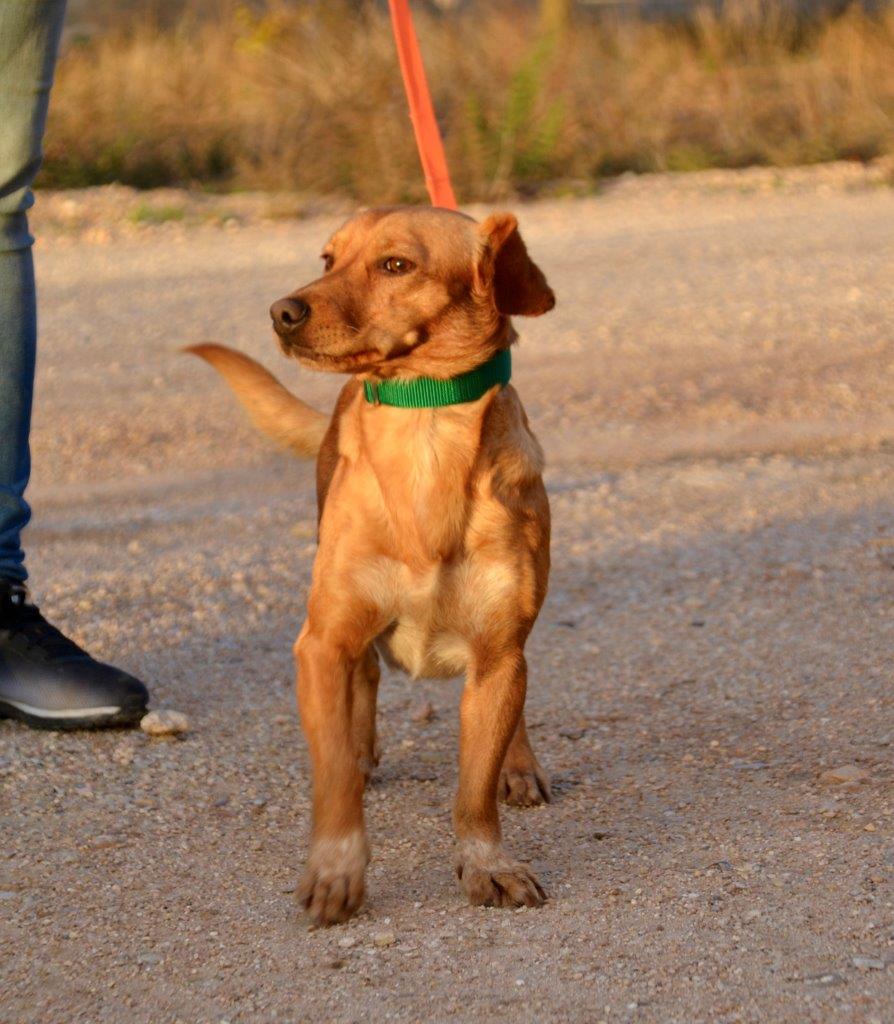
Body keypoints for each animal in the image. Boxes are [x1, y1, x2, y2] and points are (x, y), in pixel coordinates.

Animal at [190, 203, 552, 925]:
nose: (281, 311)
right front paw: (337, 868)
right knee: (364, 686)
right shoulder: (323, 641)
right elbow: (332, 775)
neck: (426, 438)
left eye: (395, 264)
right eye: (328, 259)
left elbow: (474, 789)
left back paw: (517, 762)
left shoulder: (498, 652)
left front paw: (486, 861)